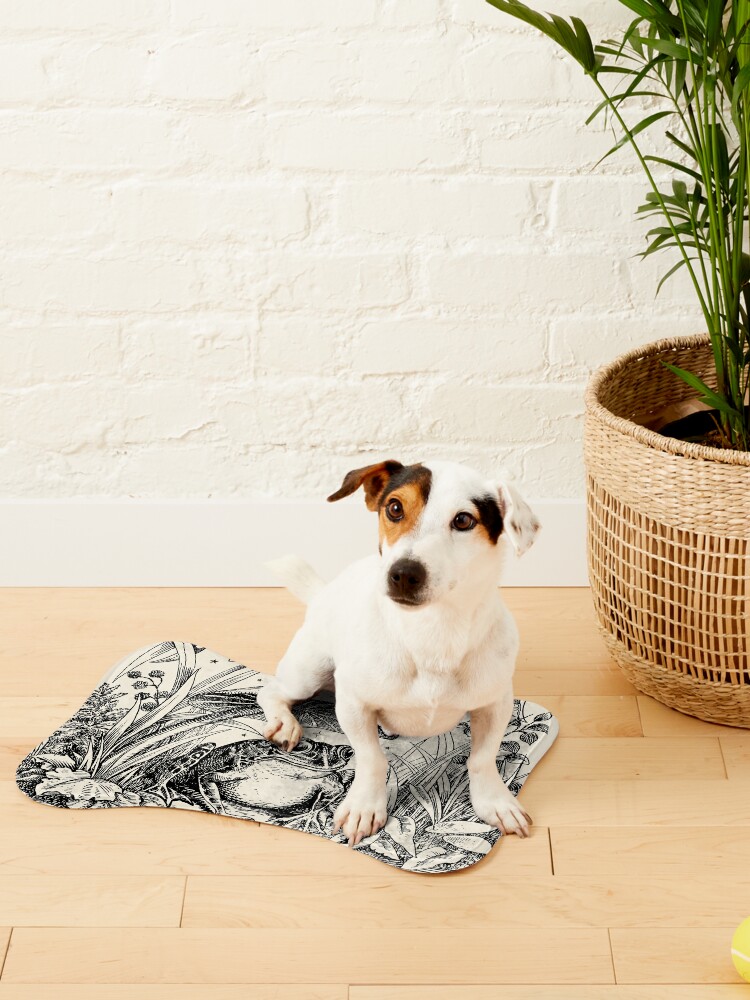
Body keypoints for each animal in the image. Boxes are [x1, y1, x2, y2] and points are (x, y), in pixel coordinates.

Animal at [258, 458, 540, 844]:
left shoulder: (495, 704)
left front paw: (495, 802)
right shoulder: (353, 704)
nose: (404, 573)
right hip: (309, 670)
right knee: (270, 691)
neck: (432, 632)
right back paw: (284, 722)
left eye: (463, 520)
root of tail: (323, 593)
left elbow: (482, 759)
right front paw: (364, 806)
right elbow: (371, 760)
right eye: (394, 508)